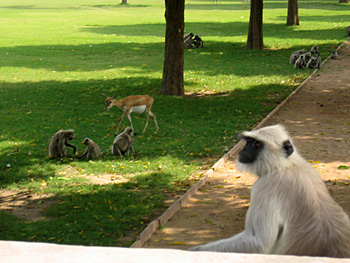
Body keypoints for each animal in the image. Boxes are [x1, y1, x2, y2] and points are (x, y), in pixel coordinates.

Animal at [191, 125, 350, 258]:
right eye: (248, 142)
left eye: (257, 144)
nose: (244, 150)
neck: (285, 166)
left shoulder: (265, 187)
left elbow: (257, 242)